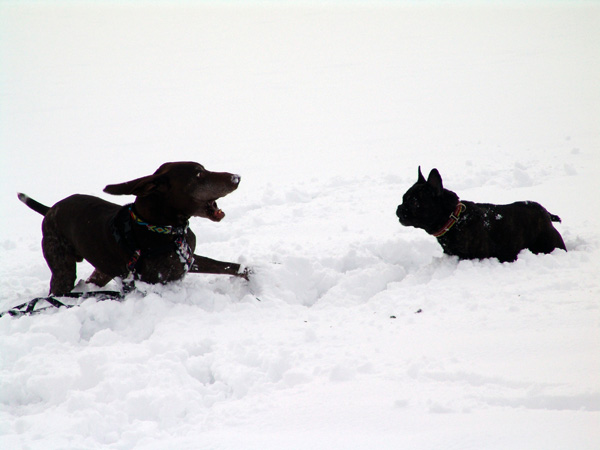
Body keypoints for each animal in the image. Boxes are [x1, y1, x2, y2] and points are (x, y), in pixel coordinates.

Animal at [18, 162, 247, 296]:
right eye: (199, 175)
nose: (237, 177)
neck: (167, 229)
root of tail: (50, 210)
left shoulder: (190, 259)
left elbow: (233, 267)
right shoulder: (152, 284)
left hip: (103, 268)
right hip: (62, 270)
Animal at [396, 167, 564, 262]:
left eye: (414, 203)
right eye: (403, 198)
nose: (399, 208)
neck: (454, 220)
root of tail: (546, 214)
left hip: (549, 245)